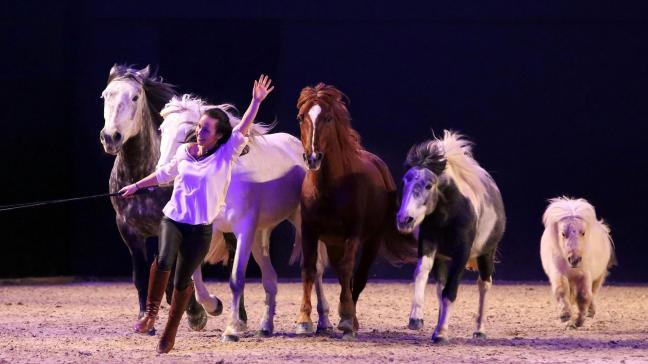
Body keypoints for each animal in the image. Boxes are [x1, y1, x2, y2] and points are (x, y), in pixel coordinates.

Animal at [158, 95, 334, 340]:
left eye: (187, 132)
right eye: (162, 129)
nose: (163, 171)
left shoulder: (244, 230)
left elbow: (236, 279)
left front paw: (232, 329)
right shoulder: (210, 229)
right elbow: (194, 273)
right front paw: (213, 306)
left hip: (299, 223)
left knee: (314, 268)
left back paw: (318, 322)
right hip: (260, 235)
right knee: (270, 278)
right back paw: (266, 326)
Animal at [294, 84, 416, 340]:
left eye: (328, 118)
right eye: (301, 117)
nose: (313, 157)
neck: (330, 188)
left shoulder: (353, 235)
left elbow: (349, 271)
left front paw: (347, 320)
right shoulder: (309, 231)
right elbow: (309, 269)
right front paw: (303, 320)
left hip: (372, 241)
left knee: (357, 277)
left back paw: (351, 320)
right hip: (333, 243)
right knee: (344, 275)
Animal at [540, 198, 616, 328]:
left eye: (583, 232)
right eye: (563, 233)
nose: (574, 259)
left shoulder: (586, 274)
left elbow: (584, 295)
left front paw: (578, 321)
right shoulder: (558, 272)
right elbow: (561, 290)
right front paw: (565, 315)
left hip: (598, 277)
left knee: (592, 293)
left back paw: (590, 312)